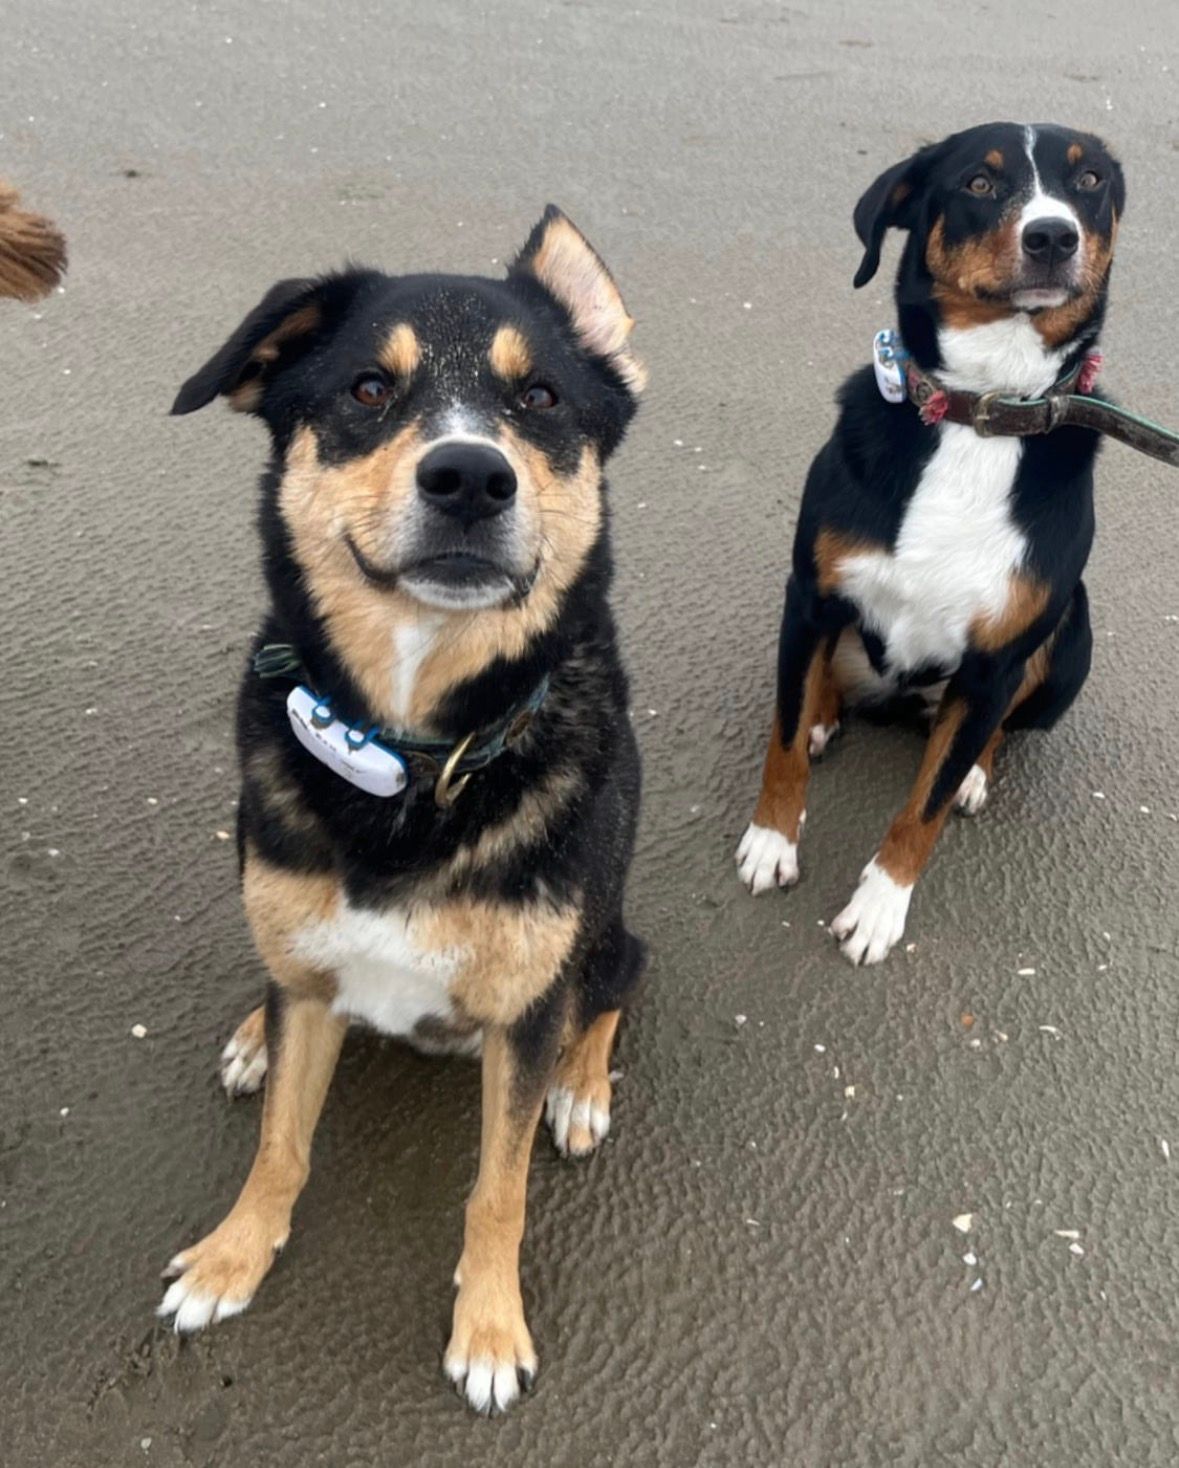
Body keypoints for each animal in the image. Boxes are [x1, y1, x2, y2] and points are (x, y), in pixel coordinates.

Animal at [157, 206, 647, 1415]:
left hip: (607, 935)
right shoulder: (310, 975)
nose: (470, 475)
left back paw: (582, 1091)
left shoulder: (525, 1013)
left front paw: (489, 1328)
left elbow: (497, 1191)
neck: (416, 757)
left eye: (541, 398)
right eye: (370, 389)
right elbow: (281, 1145)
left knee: (616, 987)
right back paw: (253, 1033)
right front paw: (234, 1255)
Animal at [737, 122, 1124, 964]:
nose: (1052, 235)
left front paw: (880, 905)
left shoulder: (995, 660)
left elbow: (925, 808)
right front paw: (771, 840)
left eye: (1088, 183)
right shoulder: (810, 600)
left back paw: (974, 770)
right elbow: (781, 742)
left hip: (1071, 636)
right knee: (819, 691)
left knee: (992, 729)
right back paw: (824, 711)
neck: (978, 414)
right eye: (979, 183)